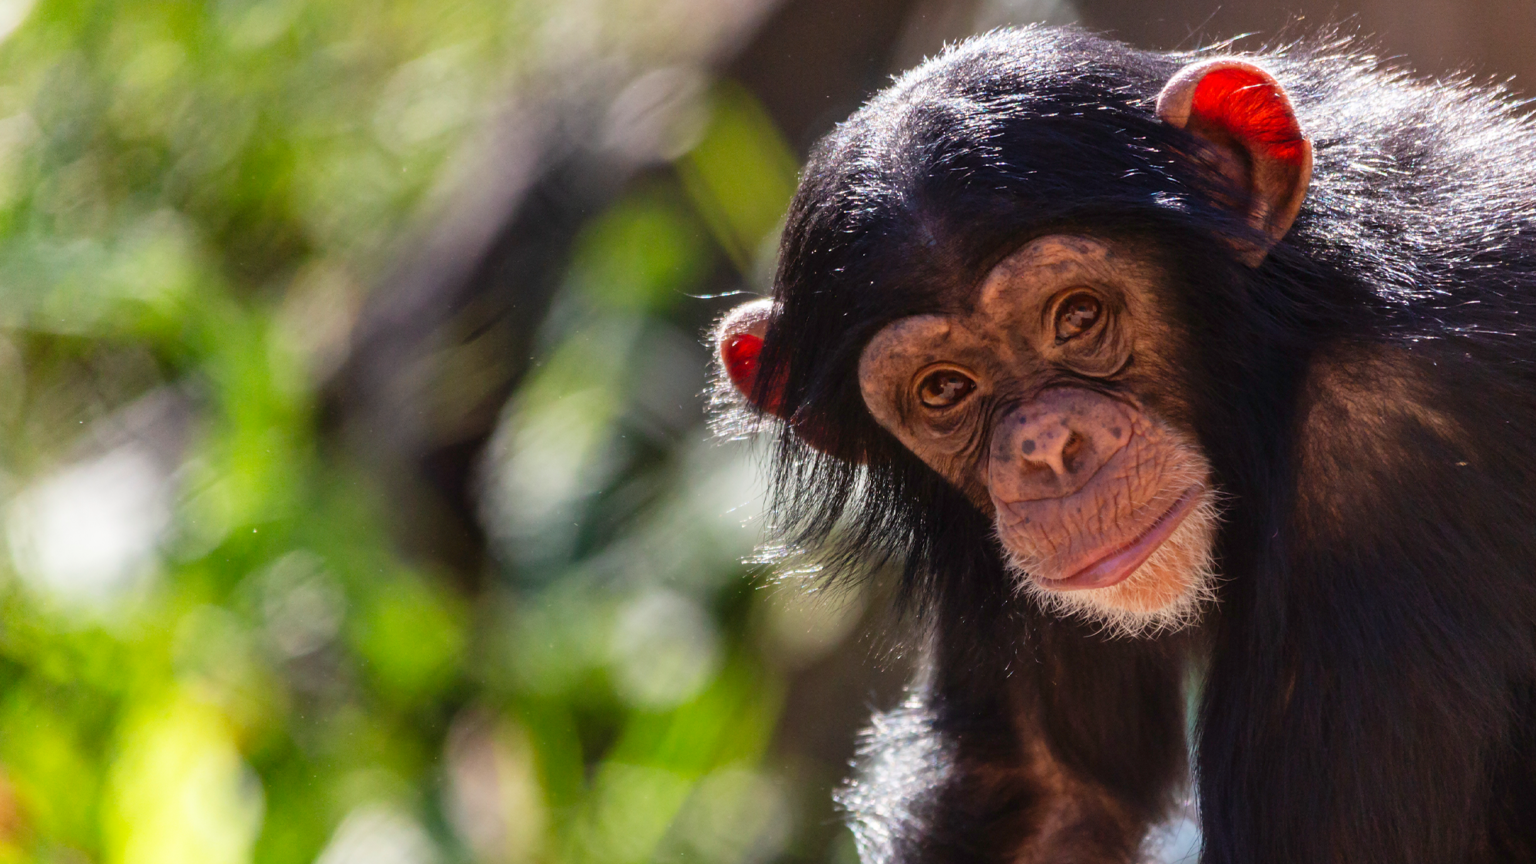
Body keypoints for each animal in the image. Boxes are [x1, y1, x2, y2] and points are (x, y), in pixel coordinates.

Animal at [709, 23, 1536, 860]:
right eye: (943, 390)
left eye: (1078, 315)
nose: (1045, 447)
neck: (1283, 331)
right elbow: (1055, 792)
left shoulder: (1383, 464)